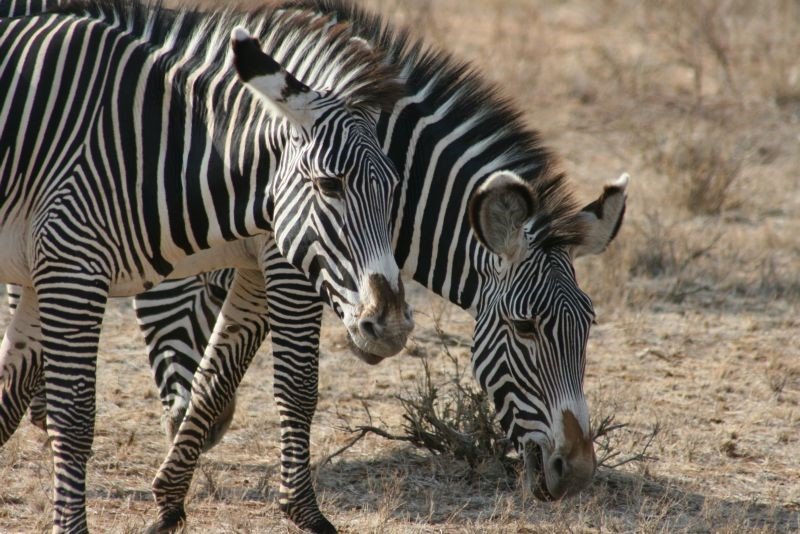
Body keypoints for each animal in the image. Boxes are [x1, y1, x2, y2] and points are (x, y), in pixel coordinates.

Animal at [0, 1, 412, 532]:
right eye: (329, 185)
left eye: (395, 187)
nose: (392, 325)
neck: (146, 151)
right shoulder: (71, 271)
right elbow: (73, 418)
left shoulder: (43, 271)